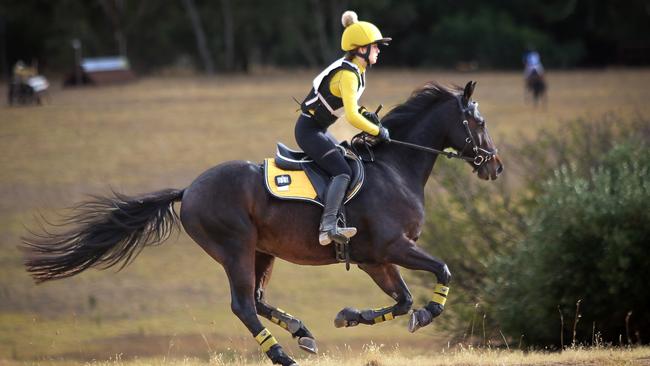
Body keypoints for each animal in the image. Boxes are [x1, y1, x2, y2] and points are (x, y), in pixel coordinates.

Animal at [24, 81, 502, 366]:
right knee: (243, 305)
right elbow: (442, 272)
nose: (494, 166)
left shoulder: (373, 259)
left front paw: (350, 316)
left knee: (256, 298)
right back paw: (282, 355)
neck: (395, 168)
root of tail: (189, 189)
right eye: (478, 121)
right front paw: (428, 312)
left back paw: (301, 332)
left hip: (261, 250)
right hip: (235, 247)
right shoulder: (392, 247)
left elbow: (402, 300)